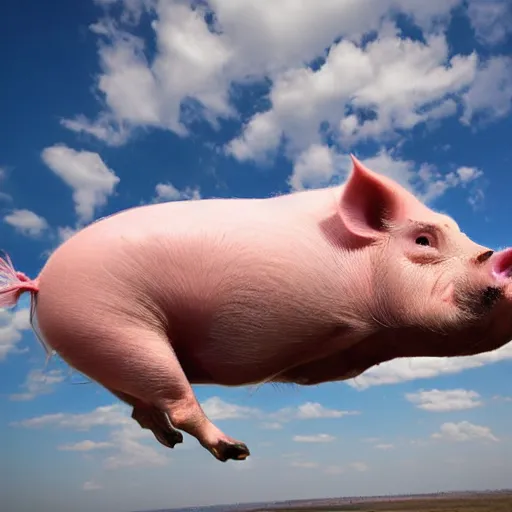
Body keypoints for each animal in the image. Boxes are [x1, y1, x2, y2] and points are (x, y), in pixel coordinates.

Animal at [1, 154, 512, 462]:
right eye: (423, 240)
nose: (497, 254)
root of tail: (40, 282)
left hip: (101, 348)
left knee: (141, 408)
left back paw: (173, 444)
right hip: (115, 325)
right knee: (175, 400)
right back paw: (238, 451)